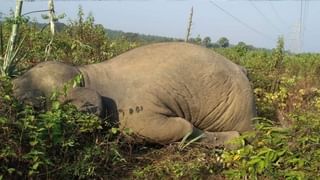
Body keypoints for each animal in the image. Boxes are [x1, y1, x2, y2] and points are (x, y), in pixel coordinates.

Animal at [13, 43, 258, 147]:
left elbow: (183, 126)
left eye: (32, 106)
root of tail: (242, 69)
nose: (11, 82)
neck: (86, 75)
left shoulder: (133, 114)